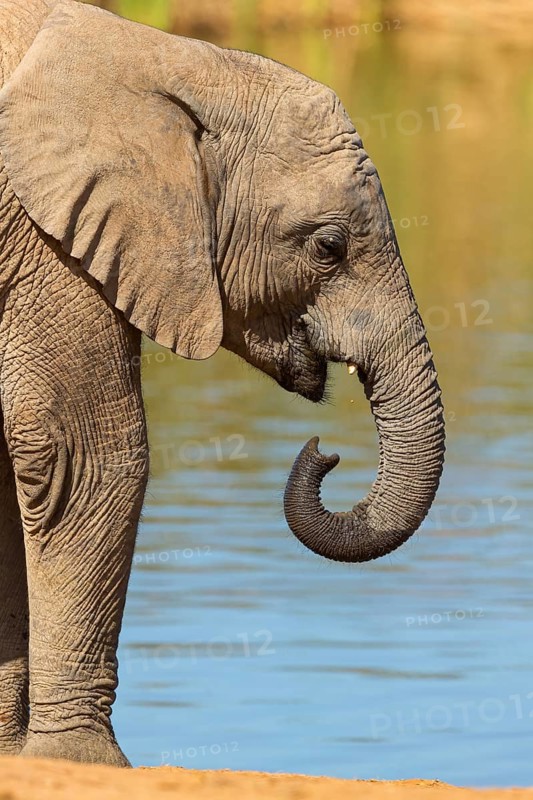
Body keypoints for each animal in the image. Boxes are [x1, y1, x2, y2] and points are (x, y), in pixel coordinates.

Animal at [0, 0, 445, 768]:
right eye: (328, 248)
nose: (325, 452)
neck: (172, 62)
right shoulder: (42, 237)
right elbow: (78, 457)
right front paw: (80, 763)